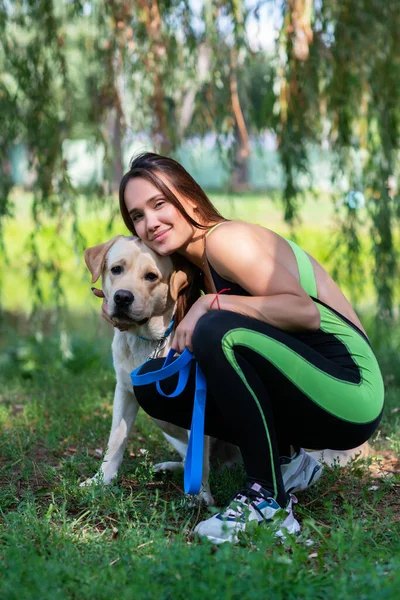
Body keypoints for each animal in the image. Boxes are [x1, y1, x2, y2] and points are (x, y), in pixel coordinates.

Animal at [81, 237, 216, 504]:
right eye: (116, 269)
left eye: (151, 276)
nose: (123, 297)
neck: (149, 341)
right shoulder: (124, 391)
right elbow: (116, 440)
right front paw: (101, 480)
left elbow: (201, 457)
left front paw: (200, 496)